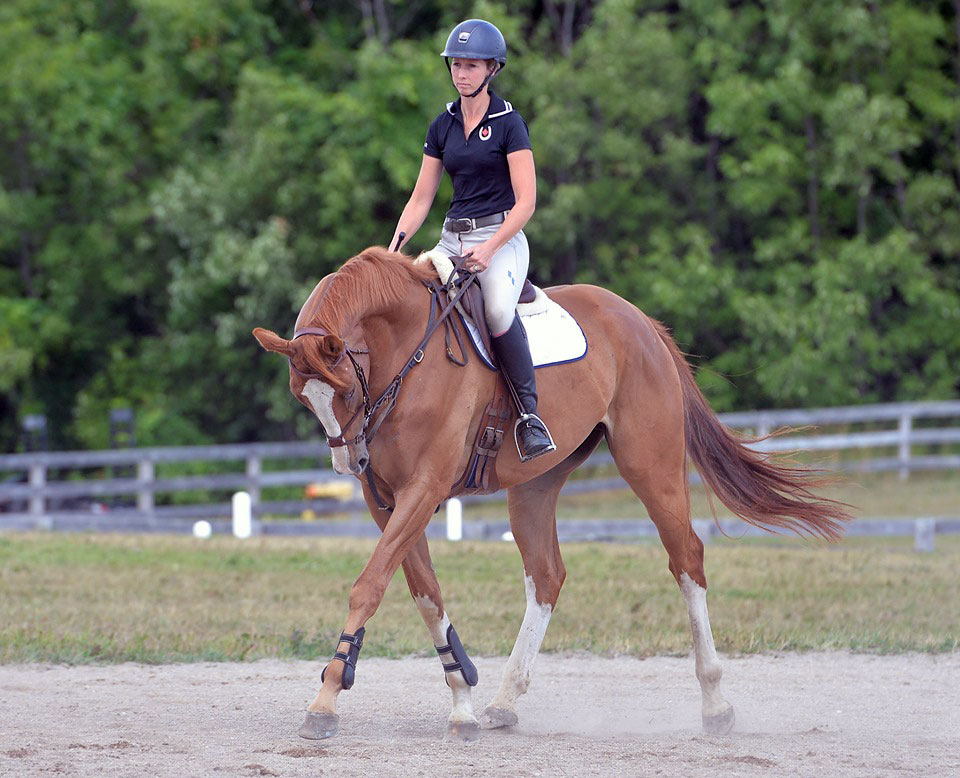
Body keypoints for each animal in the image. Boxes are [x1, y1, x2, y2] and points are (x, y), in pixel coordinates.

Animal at [252, 245, 850, 742]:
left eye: (345, 390)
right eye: (304, 398)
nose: (349, 462)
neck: (405, 354)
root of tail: (640, 322)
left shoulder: (423, 488)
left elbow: (370, 585)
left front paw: (327, 699)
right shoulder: (388, 502)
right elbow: (425, 593)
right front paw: (462, 698)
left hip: (650, 466)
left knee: (686, 560)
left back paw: (716, 704)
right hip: (535, 485)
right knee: (546, 575)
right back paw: (503, 701)